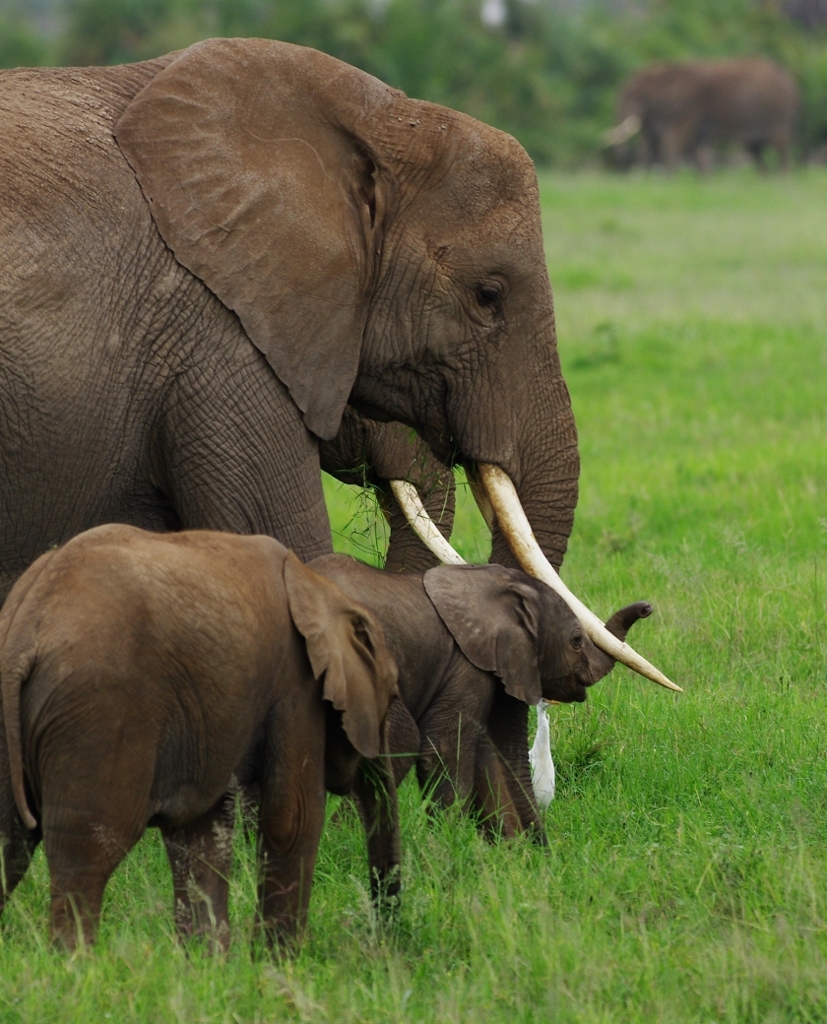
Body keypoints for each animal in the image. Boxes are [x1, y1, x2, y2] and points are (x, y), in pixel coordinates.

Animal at [0, 528, 397, 950]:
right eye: (393, 695)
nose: (381, 940)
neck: (322, 590)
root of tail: (25, 629)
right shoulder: (295, 687)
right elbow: (292, 819)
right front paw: (276, 959)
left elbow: (202, 836)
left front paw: (208, 960)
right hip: (100, 711)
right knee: (87, 851)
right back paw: (77, 961)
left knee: (10, 845)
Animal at [311, 557, 650, 843]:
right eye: (577, 641)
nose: (647, 607)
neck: (487, 579)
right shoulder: (466, 666)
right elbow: (446, 748)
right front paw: (447, 847)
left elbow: (485, 751)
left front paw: (508, 850)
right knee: (401, 738)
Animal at [605, 57, 802, 169]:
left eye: (636, 96)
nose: (622, 158)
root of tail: (790, 79)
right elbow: (691, 147)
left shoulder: (686, 107)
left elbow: (673, 142)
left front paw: (670, 179)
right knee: (755, 151)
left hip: (777, 115)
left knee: (781, 147)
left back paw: (783, 182)